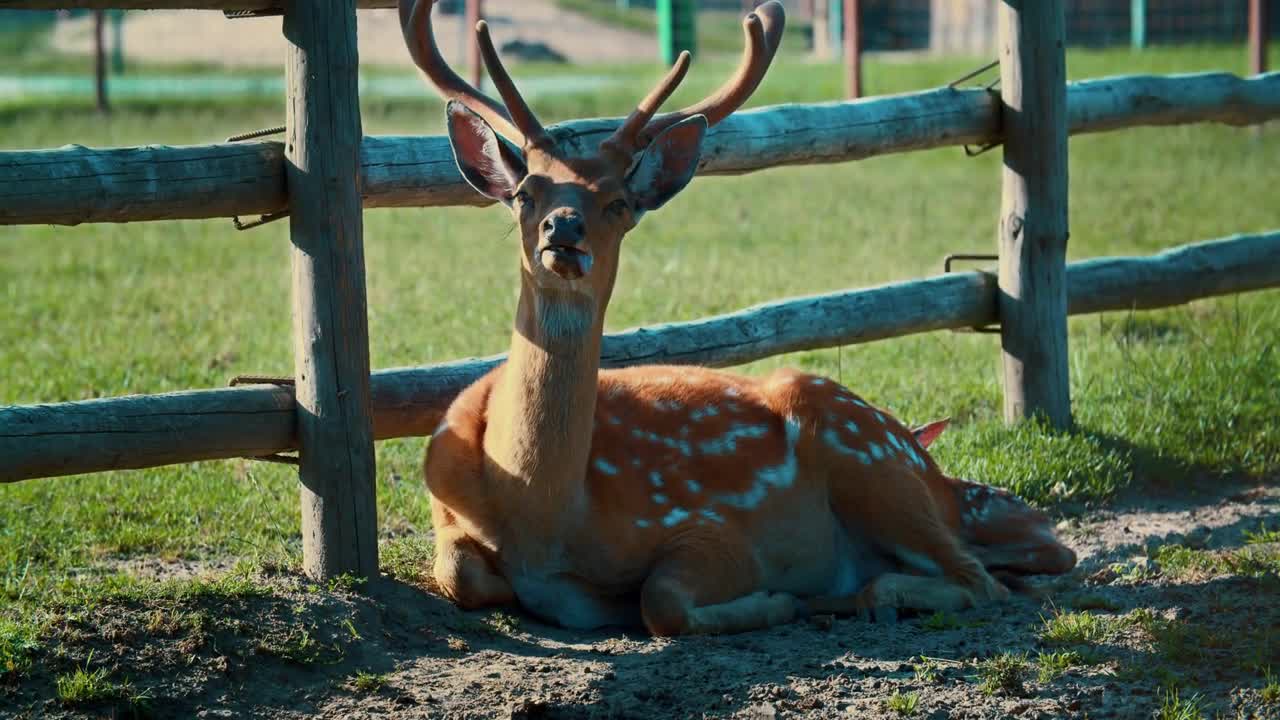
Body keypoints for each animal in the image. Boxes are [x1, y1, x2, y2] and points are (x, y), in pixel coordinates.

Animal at [399, 0, 1080, 632]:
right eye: (524, 194)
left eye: (618, 202)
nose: (562, 230)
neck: (541, 515)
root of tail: (929, 464)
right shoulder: (445, 509)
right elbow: (458, 570)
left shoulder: (715, 527)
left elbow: (661, 600)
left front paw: (772, 600)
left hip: (866, 453)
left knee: (980, 580)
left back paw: (844, 596)